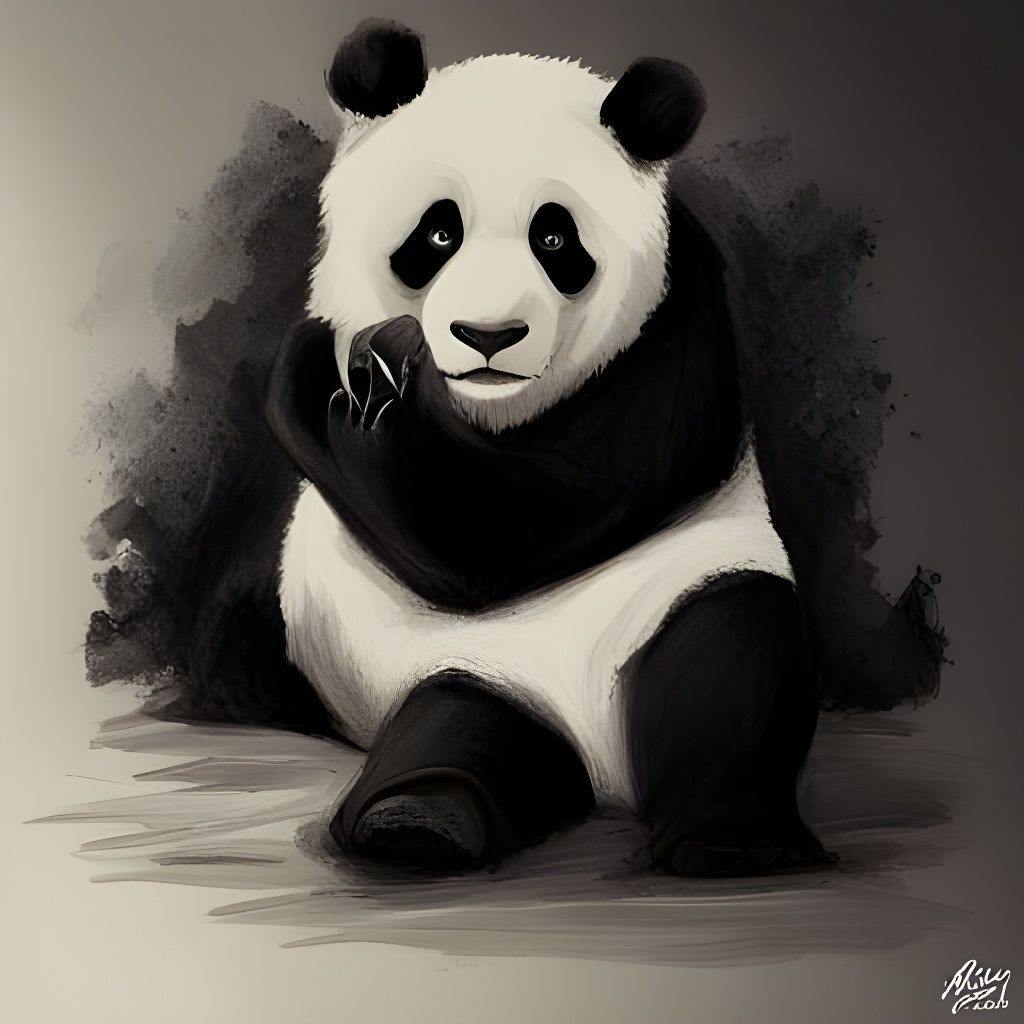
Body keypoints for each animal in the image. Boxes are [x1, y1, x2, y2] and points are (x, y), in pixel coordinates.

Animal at [264, 18, 831, 877]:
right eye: (439, 231)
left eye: (556, 238)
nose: (488, 336)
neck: (490, 421)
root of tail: (606, 774)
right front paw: (351, 383)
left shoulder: (680, 320)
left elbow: (517, 530)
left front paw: (373, 403)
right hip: (462, 669)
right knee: (463, 725)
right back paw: (420, 816)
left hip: (679, 592)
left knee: (730, 658)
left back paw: (732, 837)